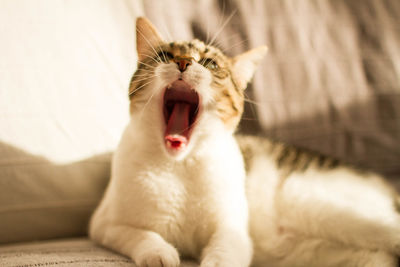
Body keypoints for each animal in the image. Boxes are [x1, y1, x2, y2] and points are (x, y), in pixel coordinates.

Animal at [90, 17, 400, 267]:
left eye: (209, 63)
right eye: (165, 55)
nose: (183, 63)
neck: (179, 167)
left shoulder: (232, 231)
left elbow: (224, 254)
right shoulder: (103, 225)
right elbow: (139, 234)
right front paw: (159, 252)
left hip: (312, 200)